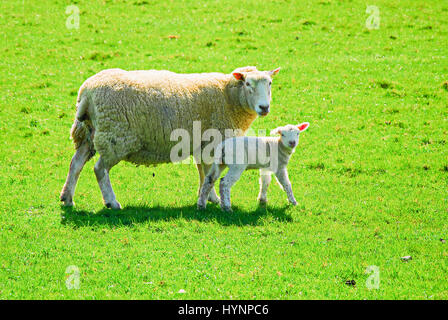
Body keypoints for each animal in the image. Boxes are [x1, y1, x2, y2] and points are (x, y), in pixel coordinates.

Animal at [59, 66, 280, 209]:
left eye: (270, 83)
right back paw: (112, 202)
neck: (228, 97)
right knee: (100, 169)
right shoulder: (212, 141)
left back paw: (67, 198)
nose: (264, 107)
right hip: (115, 137)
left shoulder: (201, 144)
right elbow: (209, 173)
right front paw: (214, 199)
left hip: (88, 133)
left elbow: (203, 172)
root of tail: (87, 93)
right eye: (248, 83)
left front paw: (206, 197)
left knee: (75, 164)